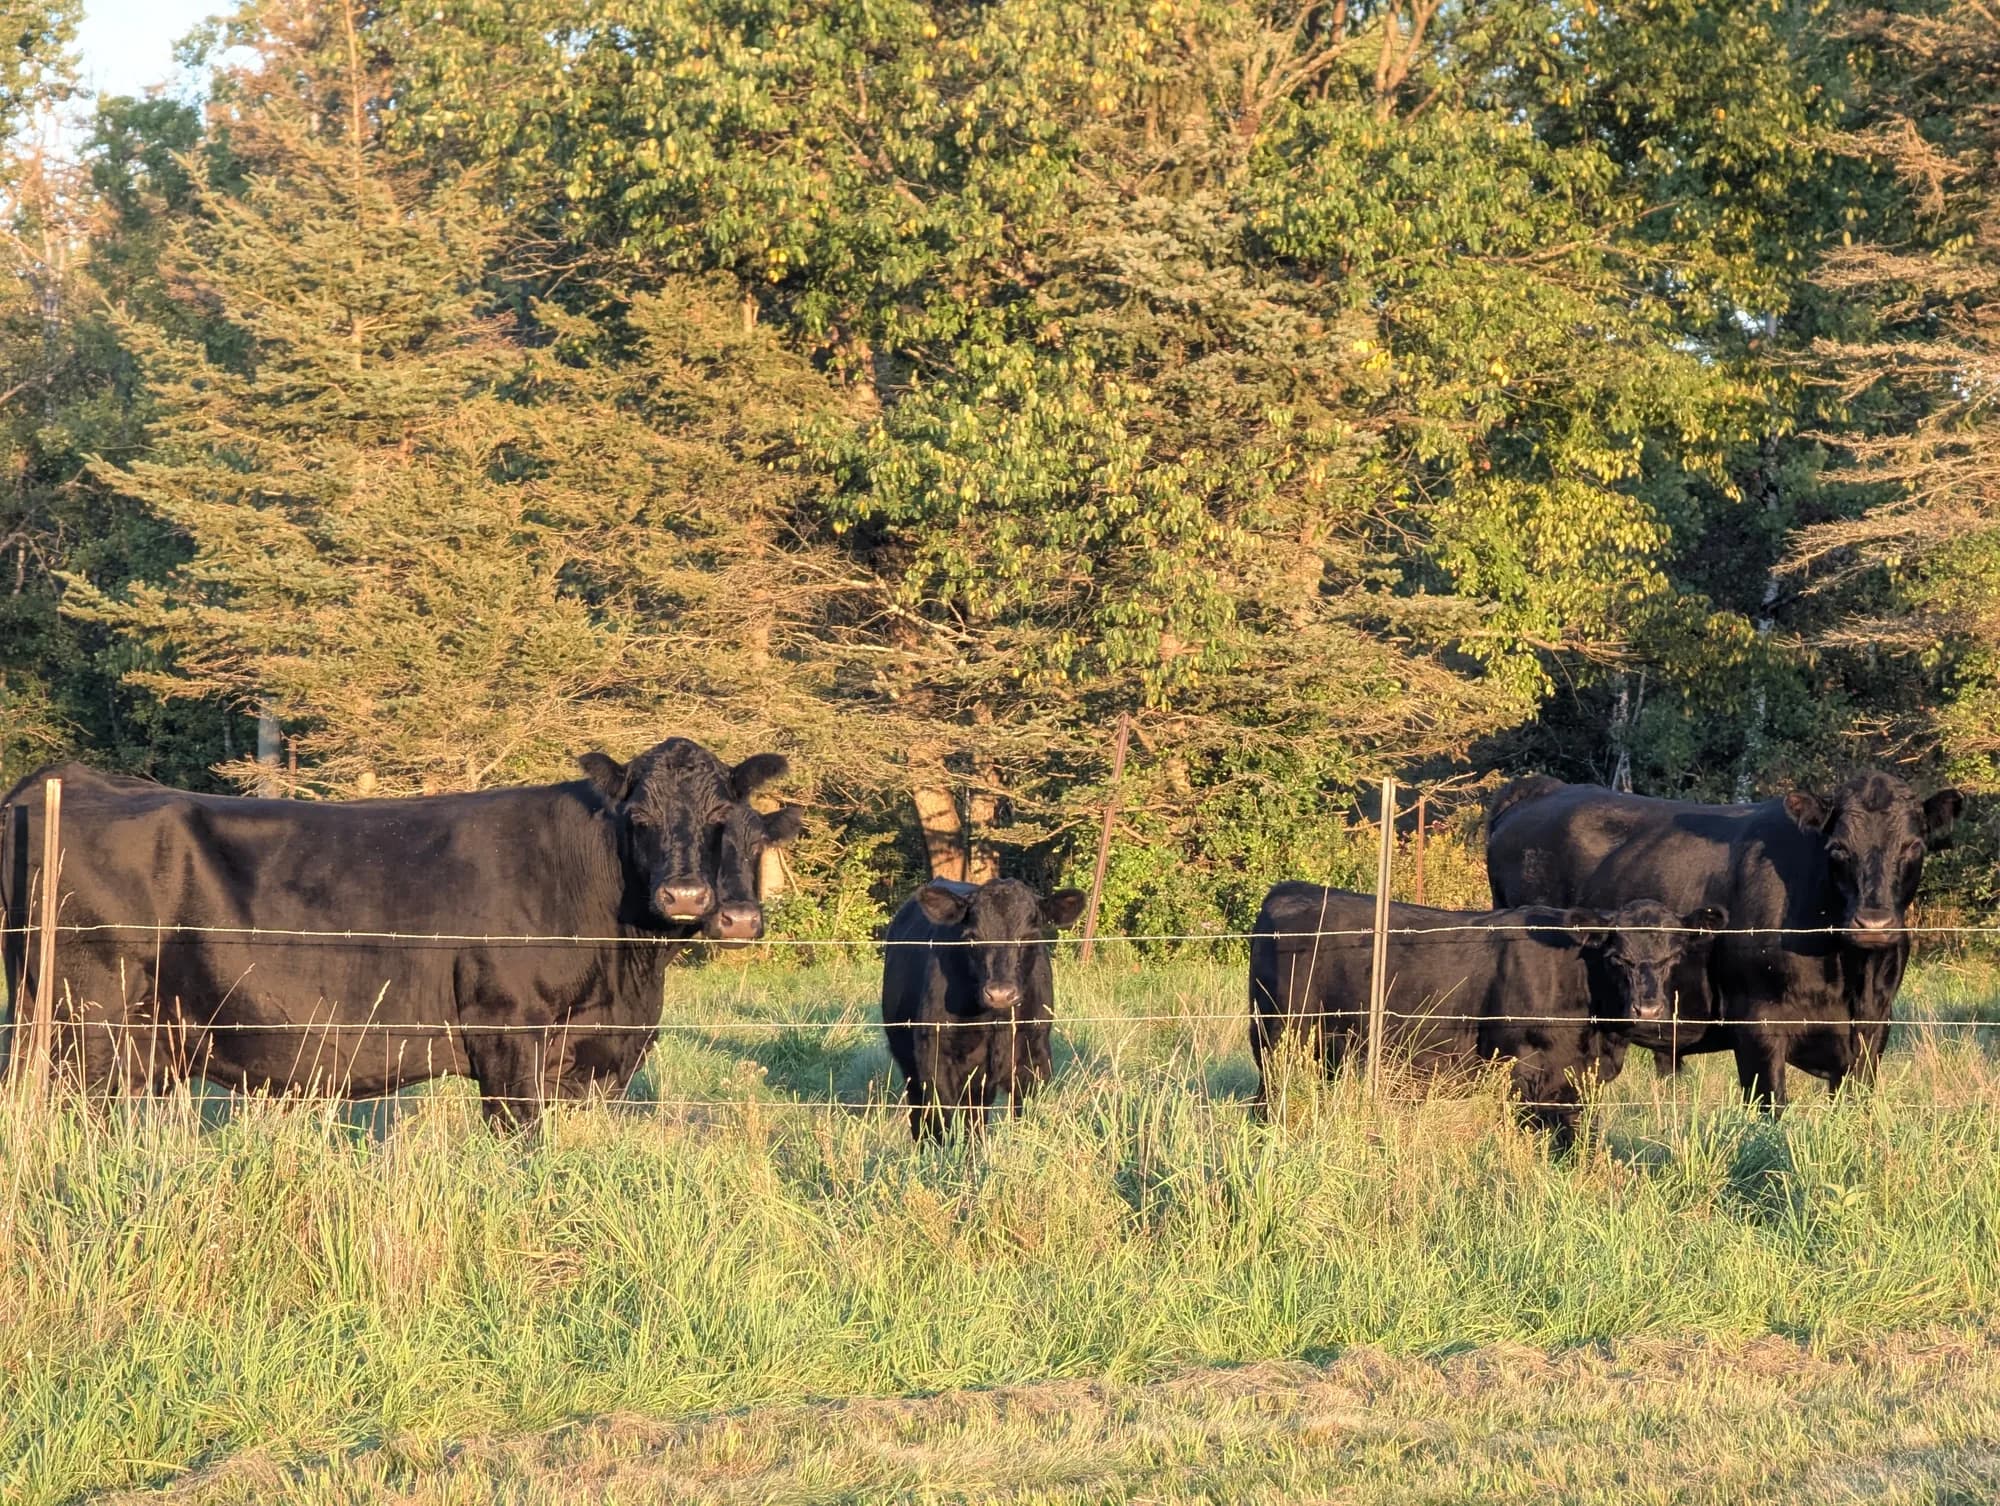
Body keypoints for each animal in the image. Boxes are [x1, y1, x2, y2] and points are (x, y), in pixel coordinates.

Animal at [0, 738, 803, 1127]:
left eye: (722, 818)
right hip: (84, 1028)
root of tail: (61, 779)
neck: (625, 976)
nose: (687, 895)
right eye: (638, 817)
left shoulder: (592, 1057)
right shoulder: (507, 1032)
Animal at [879, 877, 1087, 1141]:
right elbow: (945, 1120)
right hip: (909, 1061)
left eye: (1029, 936)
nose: (1000, 993)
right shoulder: (935, 1059)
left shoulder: (1035, 1059)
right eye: (974, 937)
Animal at [1249, 883, 1726, 1148]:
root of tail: (1289, 891)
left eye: (1674, 955)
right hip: (1279, 1040)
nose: (1648, 1008)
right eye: (1615, 957)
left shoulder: (1581, 1080)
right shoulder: (1524, 1070)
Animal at [1485, 771, 1962, 1108]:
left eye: (1914, 846)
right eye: (1838, 848)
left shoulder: (1873, 1030)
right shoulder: (1756, 1025)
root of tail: (1542, 789)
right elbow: (1771, 1110)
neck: (1848, 976)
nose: (1873, 923)